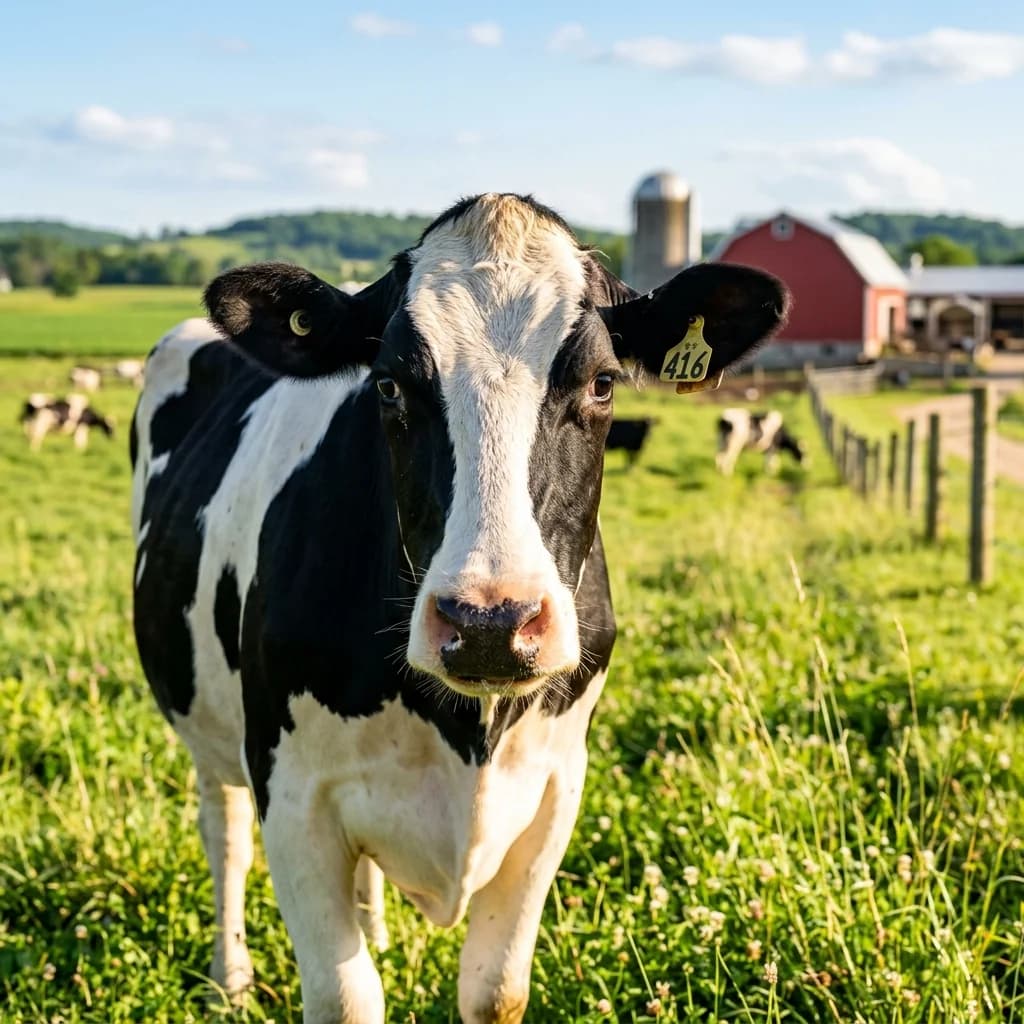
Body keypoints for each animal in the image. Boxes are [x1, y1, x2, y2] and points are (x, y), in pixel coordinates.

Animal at [131, 193, 788, 1024]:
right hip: (209, 728)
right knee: (225, 834)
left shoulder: (555, 788)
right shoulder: (292, 791)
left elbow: (495, 990)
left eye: (603, 382)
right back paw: (231, 977)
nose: (490, 626)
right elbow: (345, 996)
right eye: (387, 386)